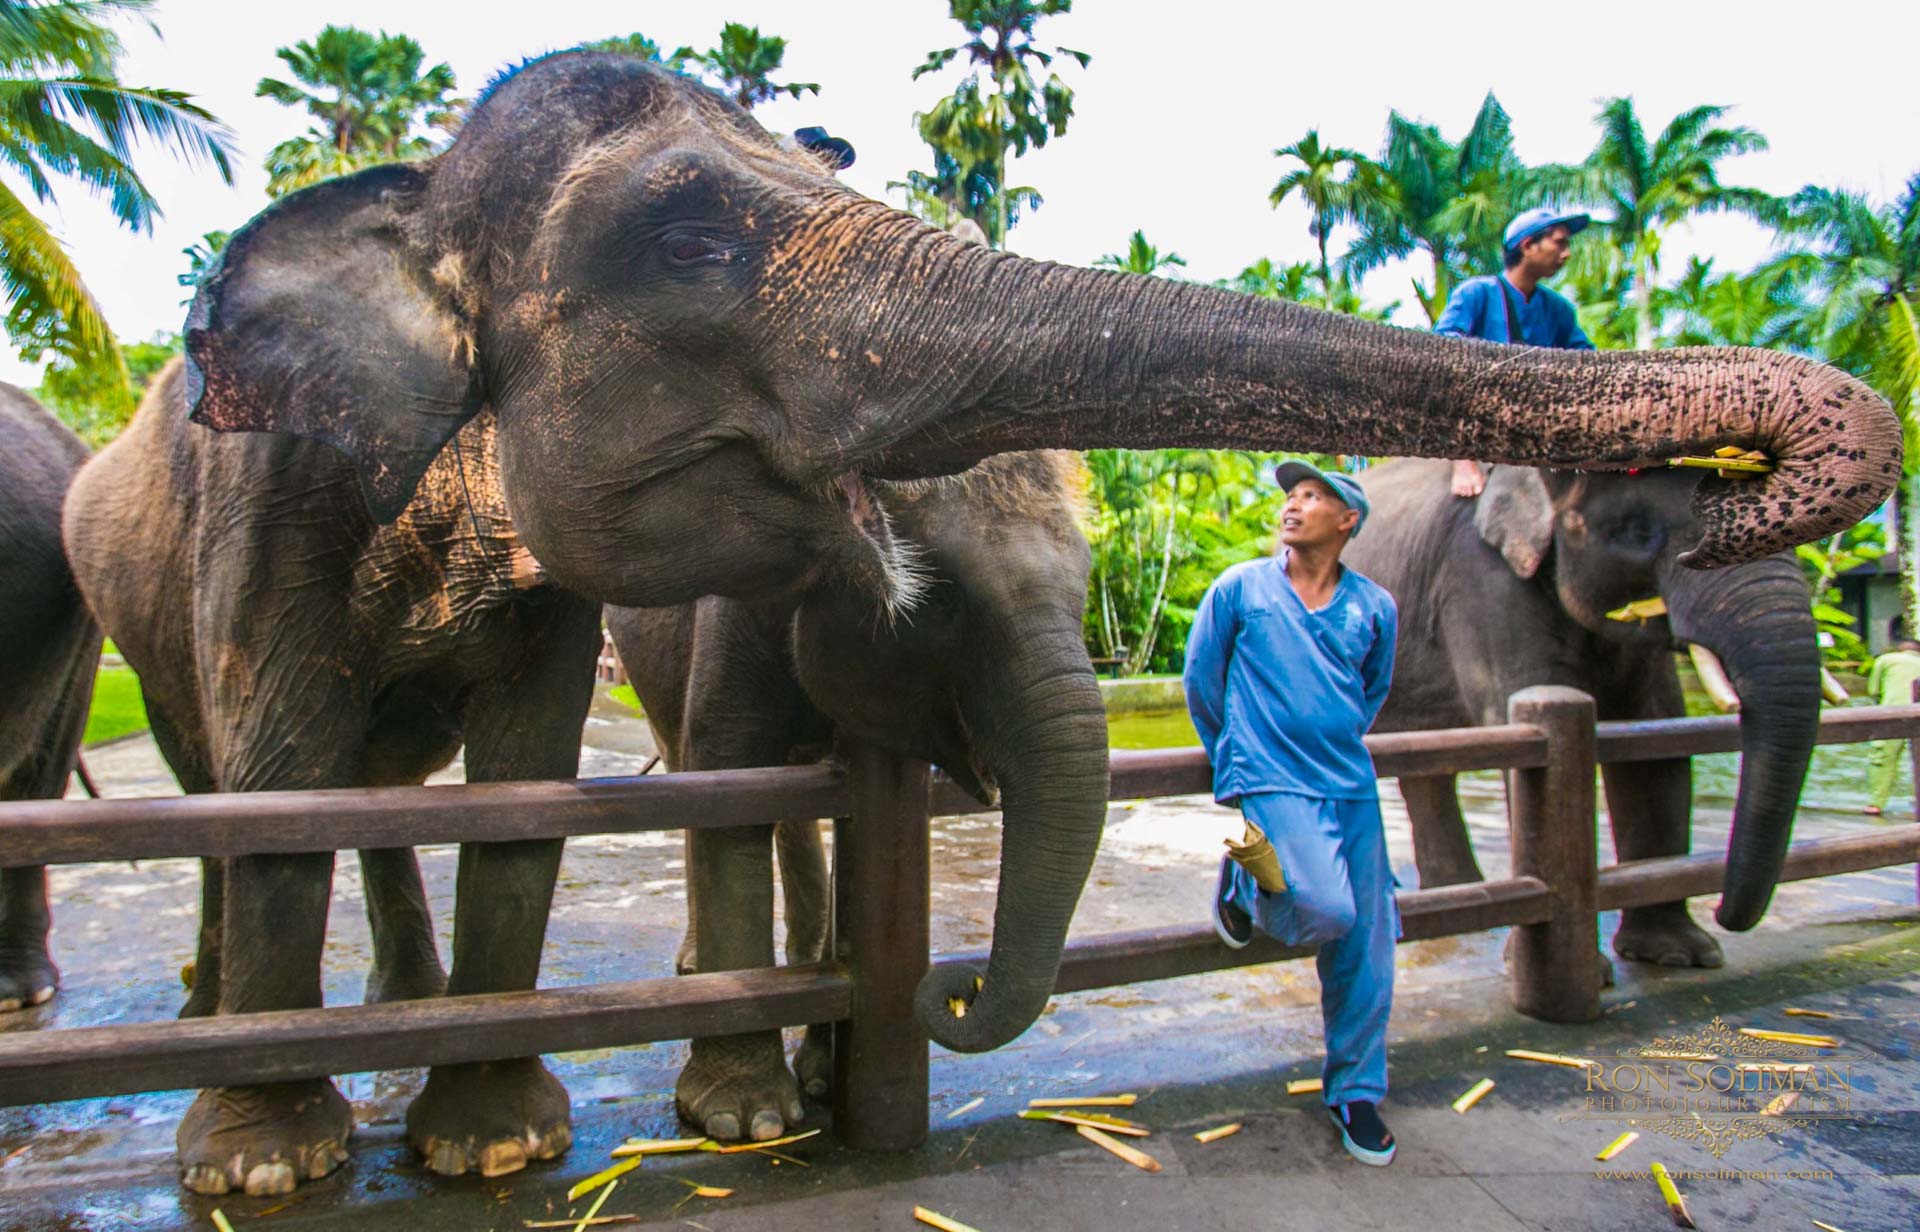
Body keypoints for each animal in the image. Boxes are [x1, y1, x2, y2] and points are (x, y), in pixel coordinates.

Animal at [65, 356, 606, 1189]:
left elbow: (528, 763)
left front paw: (496, 1150)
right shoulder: (268, 486)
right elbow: (280, 765)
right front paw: (260, 1170)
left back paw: (412, 1003)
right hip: (150, 639)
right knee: (209, 788)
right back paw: (206, 1019)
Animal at [606, 449, 1105, 1143]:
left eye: (1086, 580)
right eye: (942, 598)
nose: (959, 985)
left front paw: (820, 1078)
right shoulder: (732, 613)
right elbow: (727, 795)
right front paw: (747, 1121)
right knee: (691, 773)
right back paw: (695, 968)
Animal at [1344, 456, 1820, 963]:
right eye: (1636, 531)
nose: (1724, 914)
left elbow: (1653, 732)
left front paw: (1679, 956)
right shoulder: (1478, 577)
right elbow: (1518, 708)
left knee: (1429, 771)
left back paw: (1456, 900)